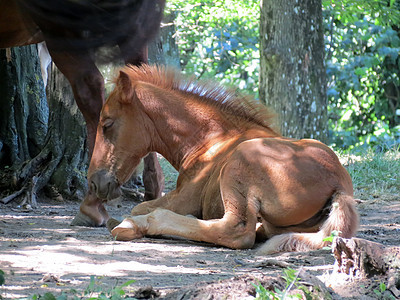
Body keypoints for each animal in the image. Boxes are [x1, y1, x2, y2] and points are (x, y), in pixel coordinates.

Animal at [87, 65, 360, 253]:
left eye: (107, 123)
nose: (94, 182)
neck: (213, 139)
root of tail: (339, 184)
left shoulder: (185, 198)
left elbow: (140, 207)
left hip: (240, 164)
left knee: (235, 231)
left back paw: (134, 225)